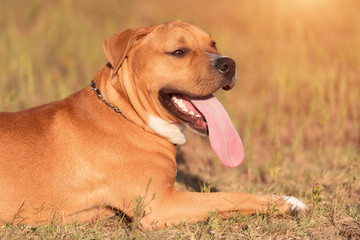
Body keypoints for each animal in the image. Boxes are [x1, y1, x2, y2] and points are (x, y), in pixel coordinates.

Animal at [0, 20, 306, 229]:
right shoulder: (161, 205)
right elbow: (227, 197)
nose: (228, 63)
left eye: (213, 45)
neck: (126, 114)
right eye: (179, 52)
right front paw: (285, 201)